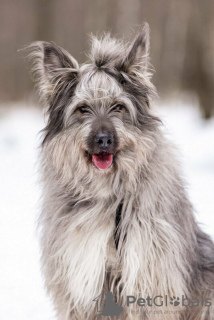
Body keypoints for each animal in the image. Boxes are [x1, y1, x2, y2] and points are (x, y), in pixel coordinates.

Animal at [28, 23, 214, 318]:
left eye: (118, 107)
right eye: (83, 109)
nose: (104, 139)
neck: (108, 193)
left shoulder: (149, 276)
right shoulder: (83, 280)